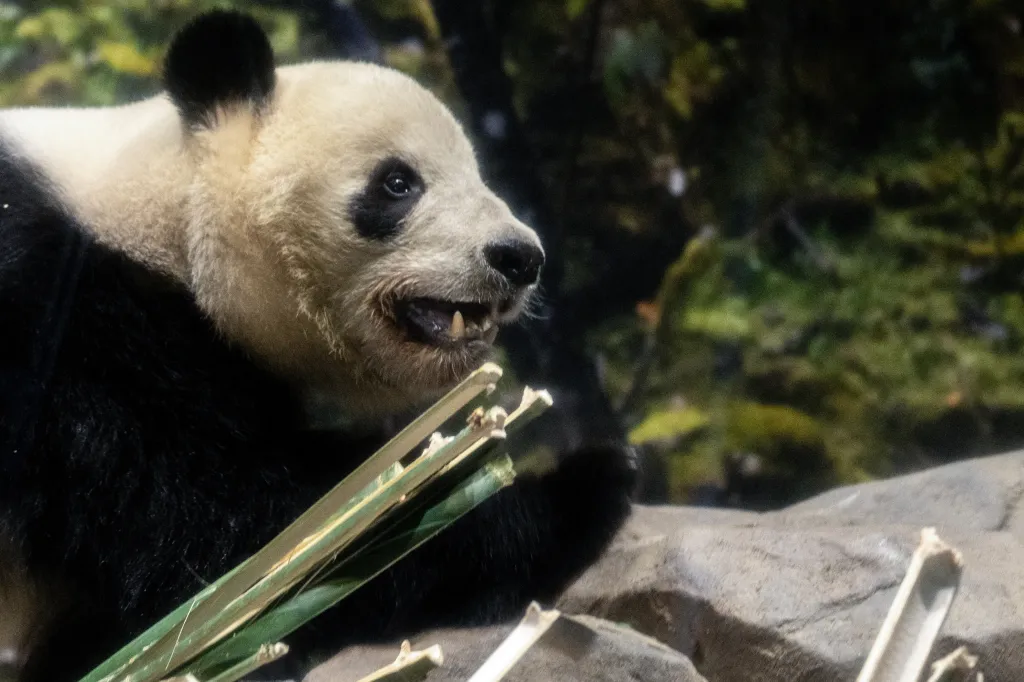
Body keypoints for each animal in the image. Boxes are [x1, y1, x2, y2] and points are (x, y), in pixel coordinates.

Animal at [0, 10, 635, 682]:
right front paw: (576, 490)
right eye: (398, 183)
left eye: (480, 175)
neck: (156, 210)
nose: (520, 257)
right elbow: (238, 536)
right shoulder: (61, 321)